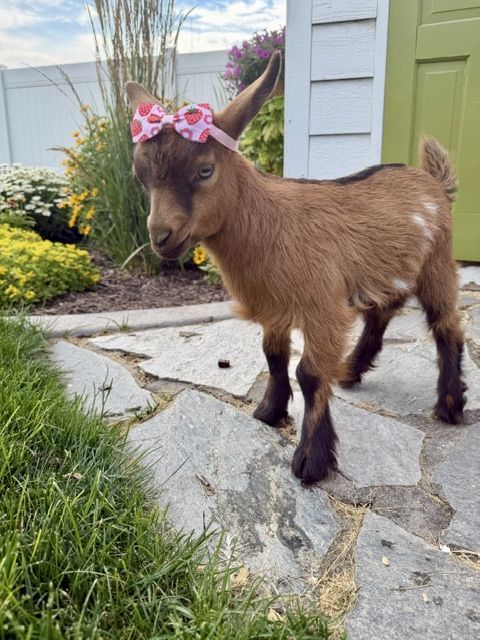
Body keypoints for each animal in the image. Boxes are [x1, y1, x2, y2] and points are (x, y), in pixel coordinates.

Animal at [126, 51, 465, 485]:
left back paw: (450, 405)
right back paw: (351, 370)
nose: (161, 237)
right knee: (382, 312)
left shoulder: (322, 307)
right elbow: (273, 356)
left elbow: (309, 373)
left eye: (205, 170)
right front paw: (269, 413)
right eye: (141, 178)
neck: (269, 224)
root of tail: (435, 184)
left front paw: (312, 460)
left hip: (437, 262)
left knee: (446, 324)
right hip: (385, 270)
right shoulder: (274, 307)